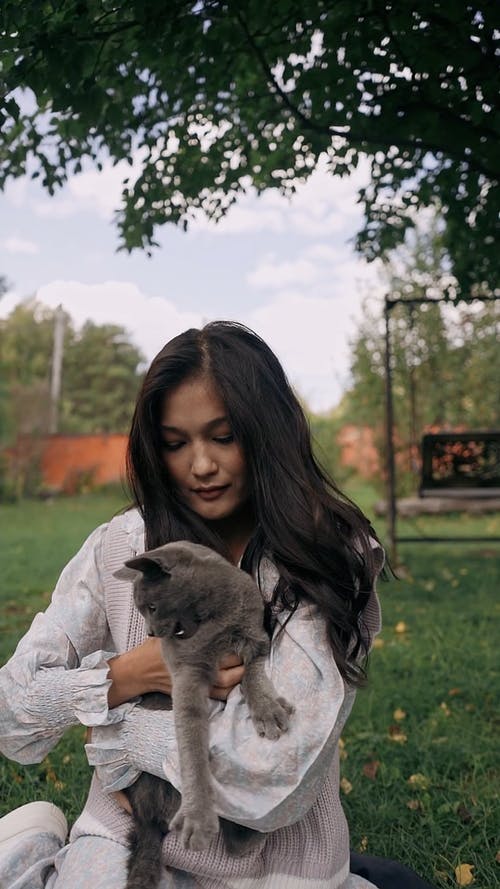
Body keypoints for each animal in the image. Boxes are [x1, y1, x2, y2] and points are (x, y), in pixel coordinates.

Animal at [114, 540, 292, 888]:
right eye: (143, 611)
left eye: (151, 607)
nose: (152, 633)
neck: (210, 614)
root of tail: (147, 822)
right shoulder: (187, 673)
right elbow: (192, 746)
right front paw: (198, 818)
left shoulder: (255, 638)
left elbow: (253, 676)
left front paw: (267, 711)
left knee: (238, 845)